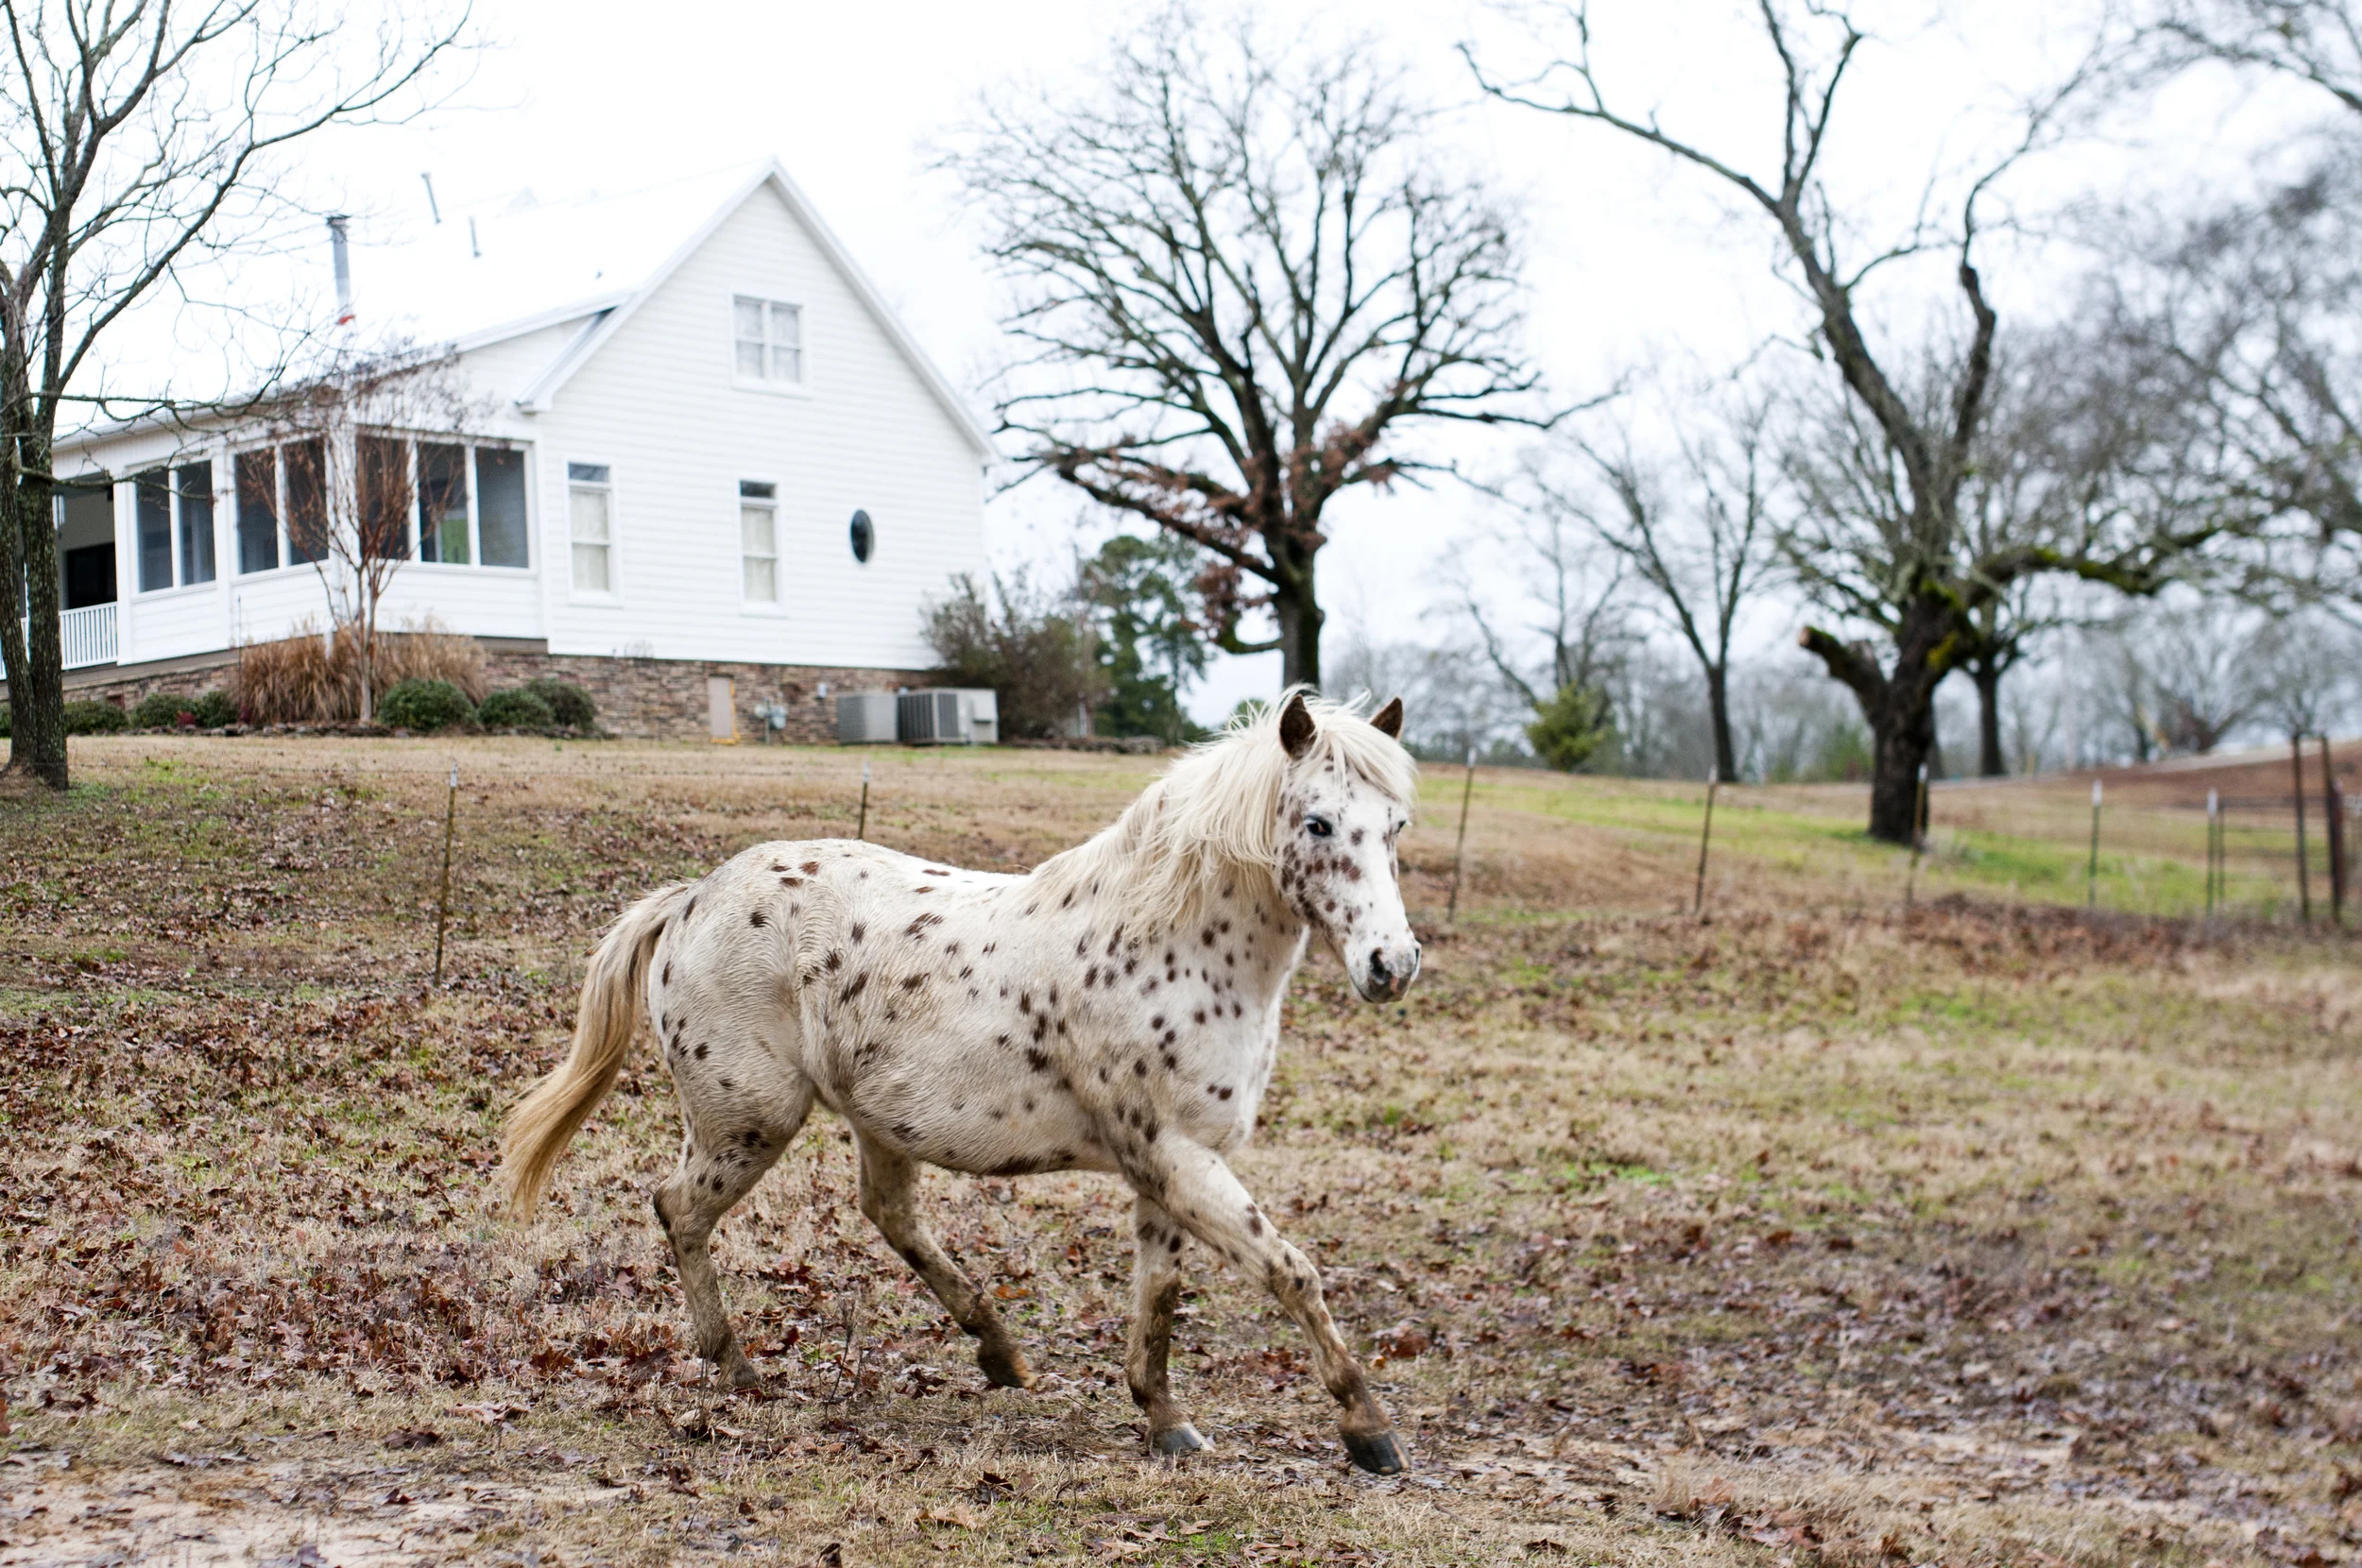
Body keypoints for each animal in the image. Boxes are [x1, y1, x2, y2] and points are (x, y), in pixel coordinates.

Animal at [498, 689, 1424, 1473]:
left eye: (1397, 827)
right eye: (1317, 823)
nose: (1393, 965)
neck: (1169, 943)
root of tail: (692, 900)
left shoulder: (1169, 1168)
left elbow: (1159, 1296)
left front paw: (1166, 1422)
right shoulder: (1175, 1159)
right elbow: (1292, 1271)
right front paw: (1369, 1432)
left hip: (872, 1120)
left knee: (887, 1214)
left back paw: (1000, 1352)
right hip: (748, 1120)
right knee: (680, 1210)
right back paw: (739, 1370)